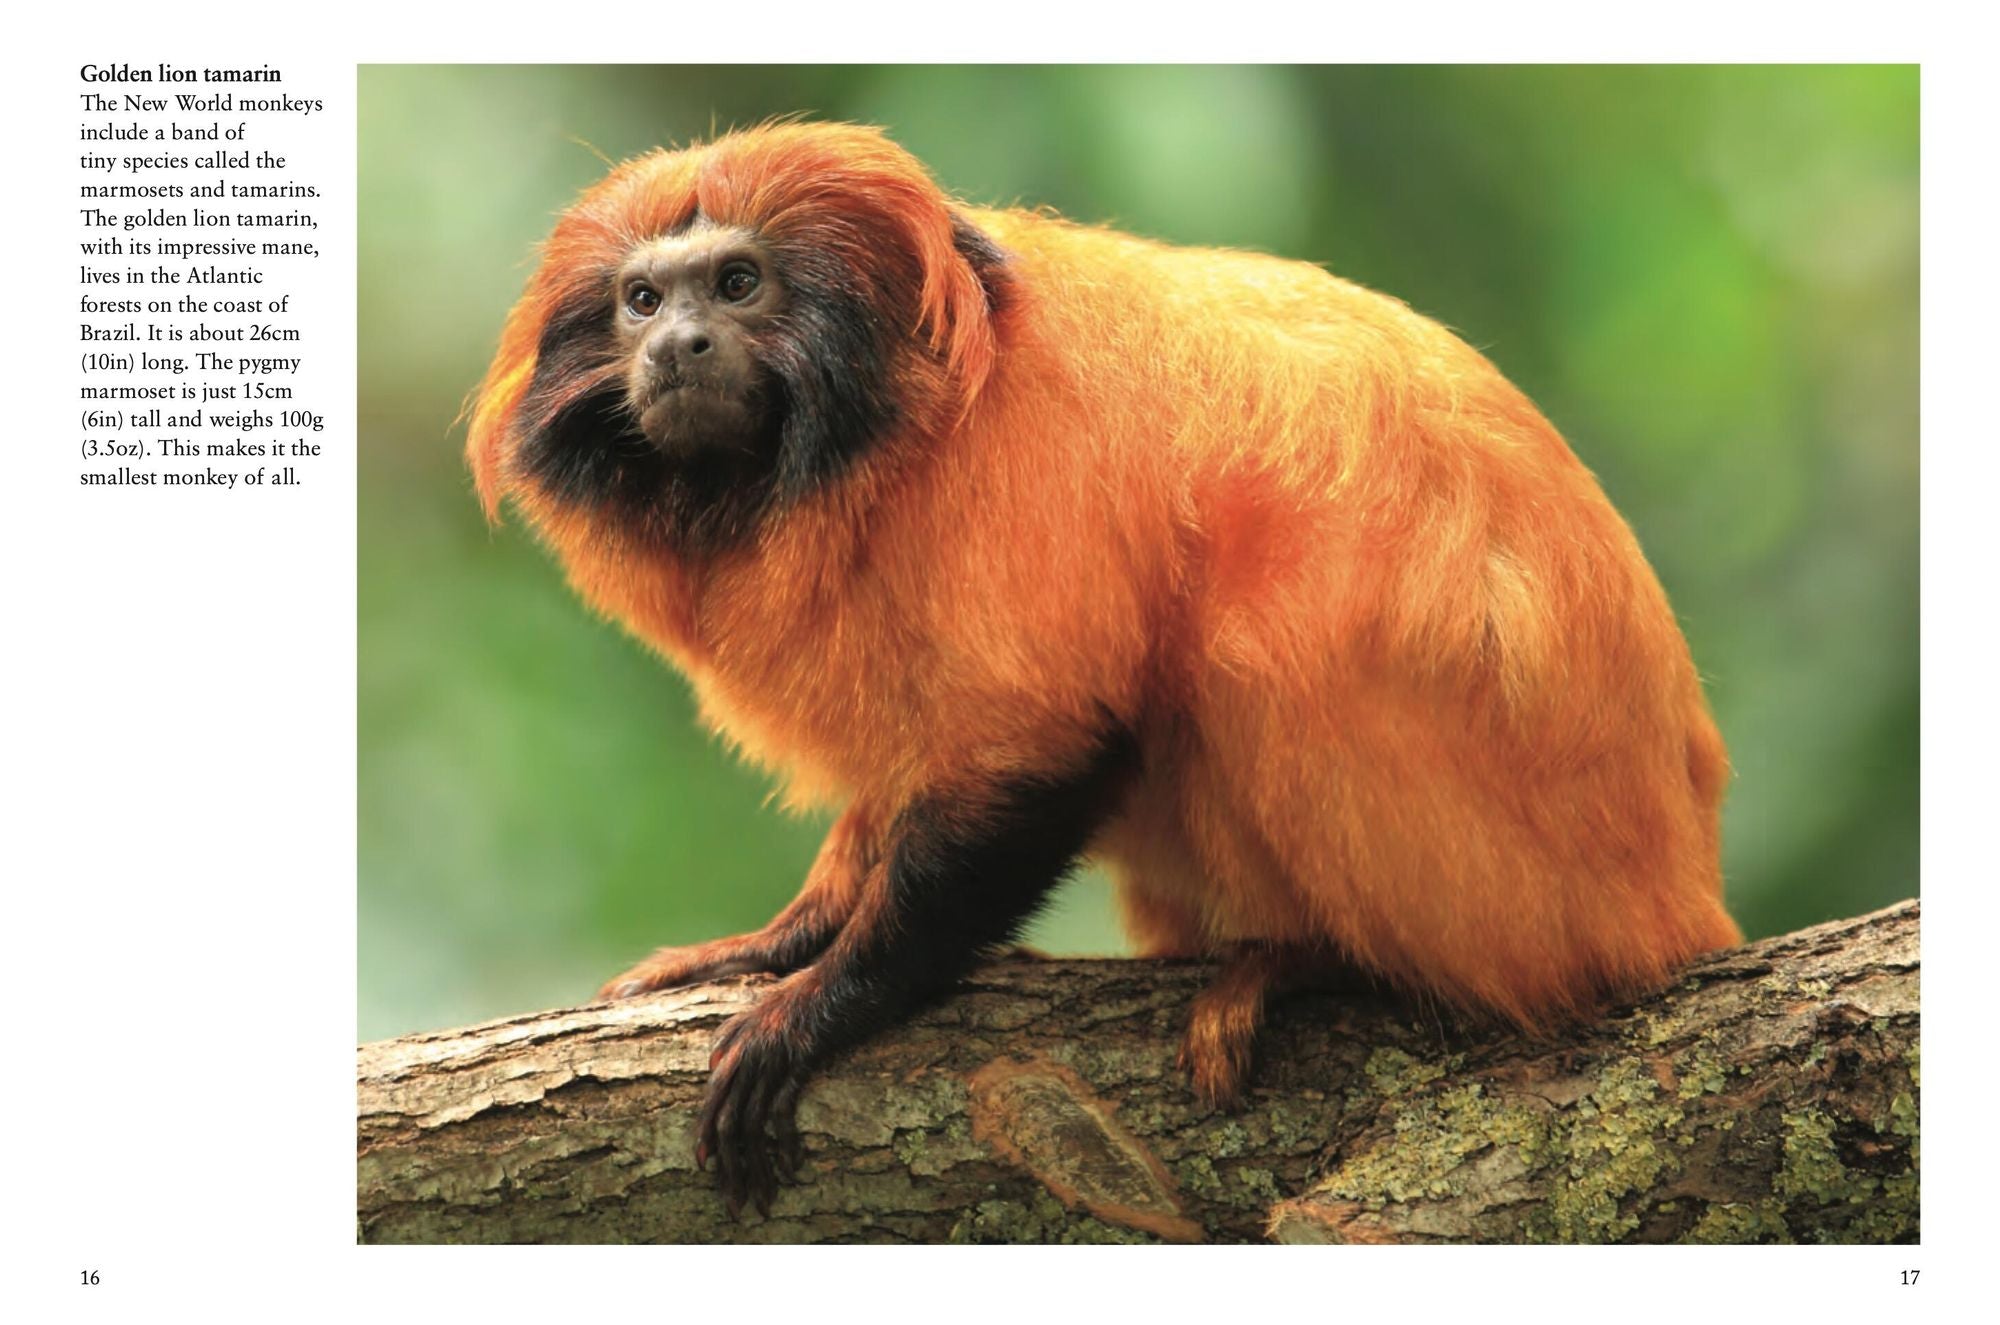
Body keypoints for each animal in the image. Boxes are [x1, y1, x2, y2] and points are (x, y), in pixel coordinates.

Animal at [467, 121, 1742, 1217]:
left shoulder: (1026, 470)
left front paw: (820, 1006)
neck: (900, 429)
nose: (676, 346)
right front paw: (784, 938)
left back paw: (1314, 961)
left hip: (1535, 882)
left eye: (738, 284)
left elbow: (1037, 744)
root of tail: (1672, 887)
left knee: (1263, 633)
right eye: (640, 300)